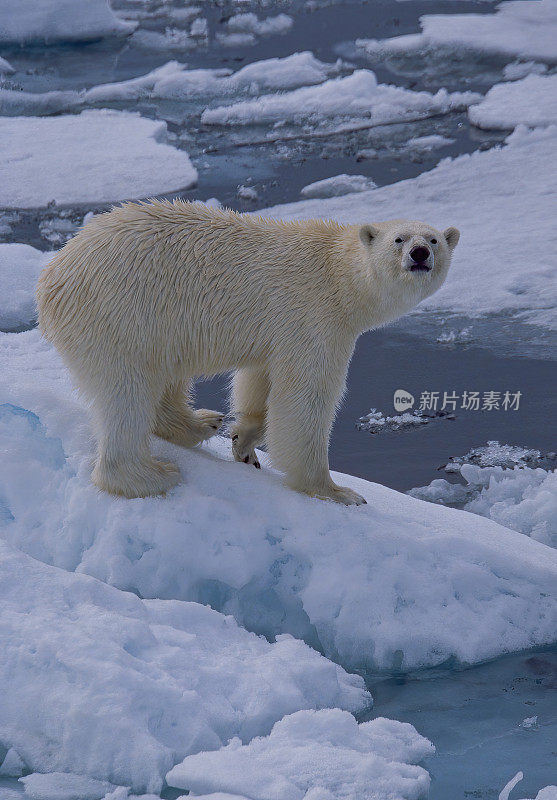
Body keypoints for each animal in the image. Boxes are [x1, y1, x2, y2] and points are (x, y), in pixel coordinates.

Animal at [37, 202, 458, 500]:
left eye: (434, 239)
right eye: (399, 239)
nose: (420, 253)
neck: (337, 277)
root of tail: (53, 275)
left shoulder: (280, 330)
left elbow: (259, 379)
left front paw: (245, 444)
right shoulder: (314, 316)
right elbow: (307, 395)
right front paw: (334, 490)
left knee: (164, 380)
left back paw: (201, 422)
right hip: (122, 315)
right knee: (126, 393)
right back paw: (149, 476)